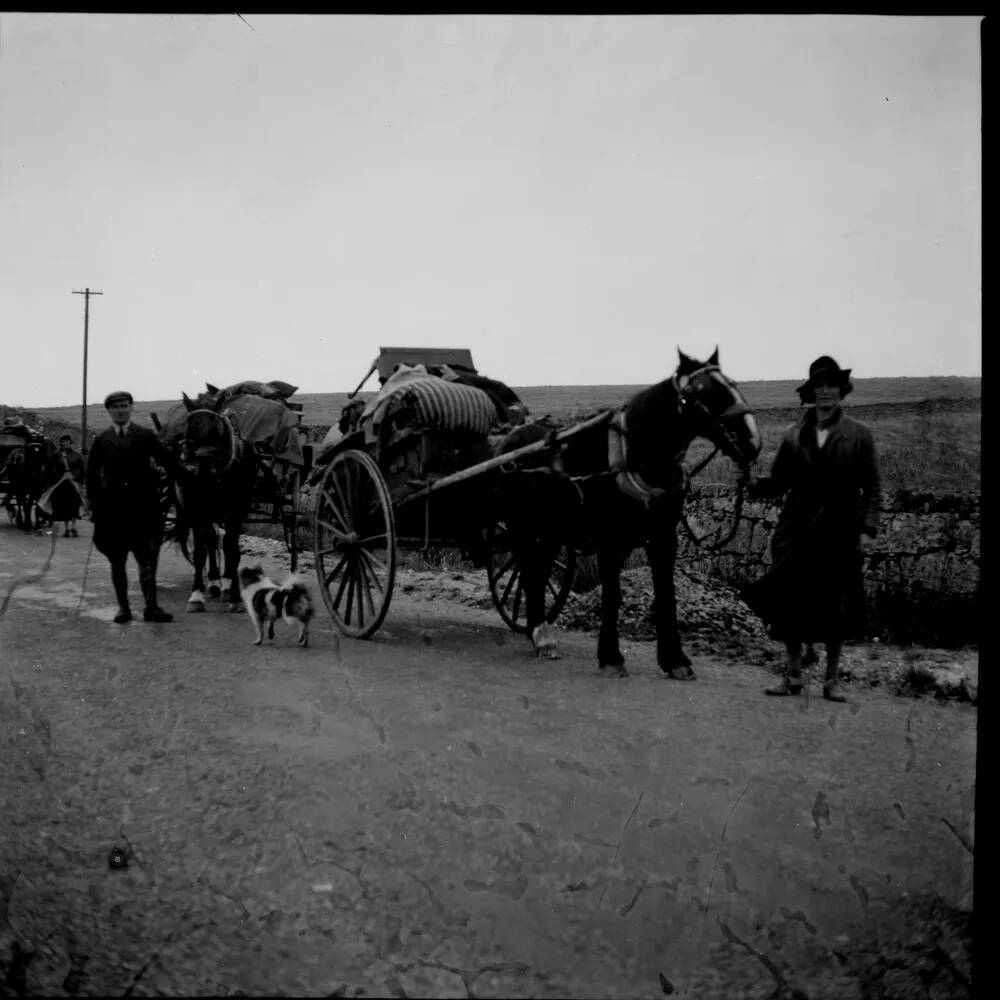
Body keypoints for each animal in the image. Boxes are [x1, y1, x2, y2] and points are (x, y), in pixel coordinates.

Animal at [160, 398, 258, 608]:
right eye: (188, 432)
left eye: (217, 430)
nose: (201, 469)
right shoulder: (197, 511)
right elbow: (200, 550)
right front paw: (197, 594)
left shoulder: (236, 511)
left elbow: (231, 547)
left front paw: (232, 591)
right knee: (210, 541)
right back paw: (213, 582)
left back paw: (224, 583)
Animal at [496, 350, 760, 680]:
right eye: (700, 392)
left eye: (733, 384)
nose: (752, 441)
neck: (635, 457)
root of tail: (509, 442)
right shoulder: (610, 540)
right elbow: (613, 594)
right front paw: (611, 656)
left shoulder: (663, 537)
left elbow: (666, 595)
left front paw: (674, 659)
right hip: (524, 527)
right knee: (531, 571)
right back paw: (540, 634)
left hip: (550, 531)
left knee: (537, 571)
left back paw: (538, 632)